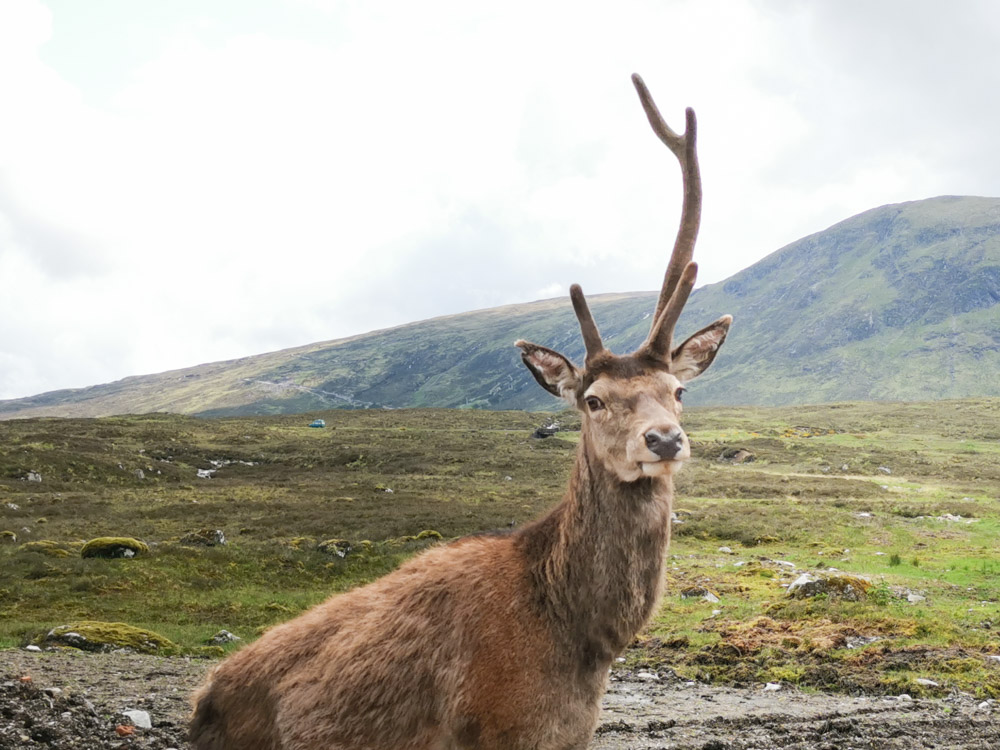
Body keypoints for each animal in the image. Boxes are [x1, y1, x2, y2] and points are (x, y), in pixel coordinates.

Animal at [189, 73, 732, 750]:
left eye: (678, 391)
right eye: (593, 400)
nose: (663, 440)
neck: (581, 641)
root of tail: (202, 698)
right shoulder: (498, 729)